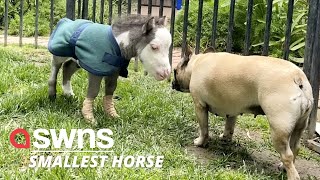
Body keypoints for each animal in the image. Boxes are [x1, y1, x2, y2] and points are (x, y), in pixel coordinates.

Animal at [172, 47, 312, 179]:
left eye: (175, 71)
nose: (172, 83)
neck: (196, 63)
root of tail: (298, 78)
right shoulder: (232, 109)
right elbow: (229, 126)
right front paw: (225, 138)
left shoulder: (199, 106)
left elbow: (204, 129)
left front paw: (200, 142)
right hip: (299, 126)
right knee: (294, 148)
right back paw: (283, 167)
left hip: (279, 128)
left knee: (287, 155)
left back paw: (292, 175)